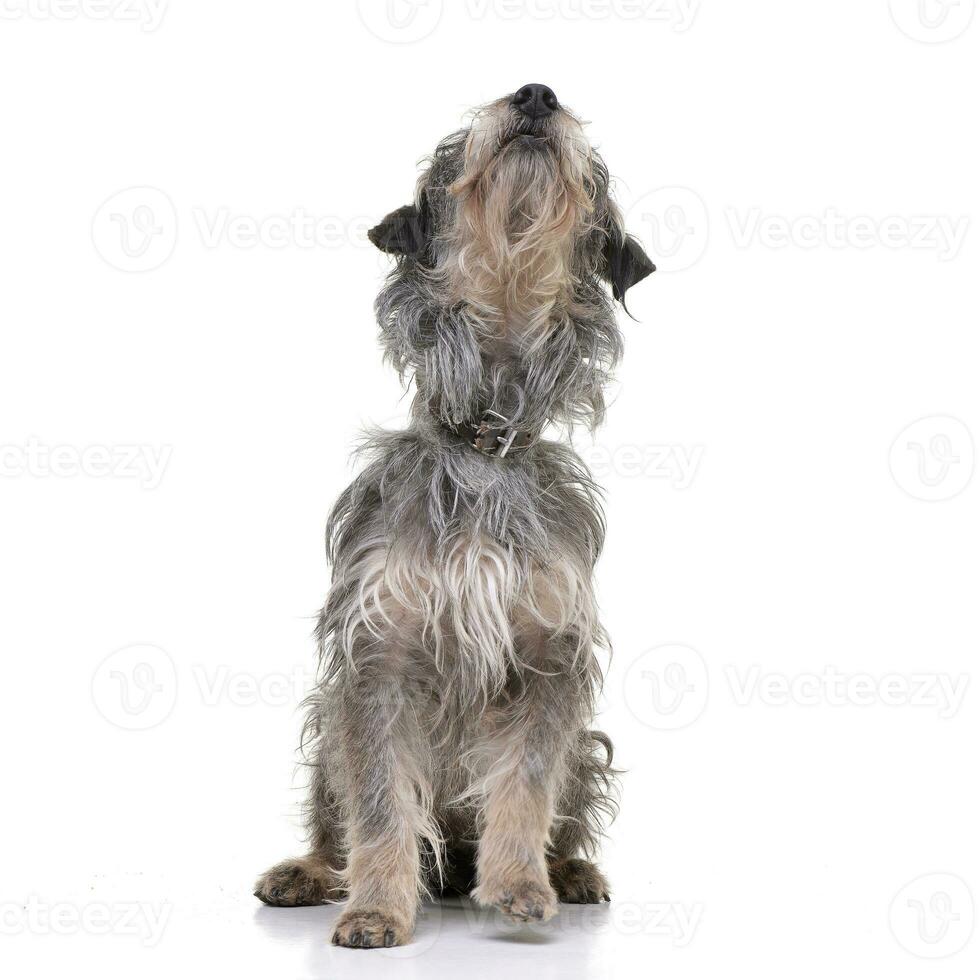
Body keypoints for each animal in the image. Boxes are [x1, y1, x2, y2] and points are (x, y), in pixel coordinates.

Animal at [253, 86, 656, 948]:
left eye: (597, 174)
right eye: (446, 157)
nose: (536, 92)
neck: (484, 442)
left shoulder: (549, 654)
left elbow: (527, 783)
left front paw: (520, 883)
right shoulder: (376, 656)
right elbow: (378, 803)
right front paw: (375, 907)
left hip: (590, 745)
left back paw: (569, 870)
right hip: (324, 724)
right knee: (337, 817)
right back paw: (311, 872)